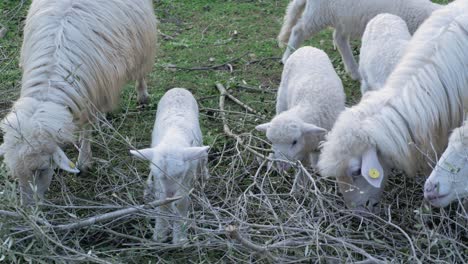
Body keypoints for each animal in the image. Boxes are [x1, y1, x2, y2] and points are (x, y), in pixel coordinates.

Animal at [0, 0, 158, 204]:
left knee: (140, 72)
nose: (29, 207)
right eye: (16, 174)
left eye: (42, 169)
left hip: (141, 41)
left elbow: (87, 126)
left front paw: (84, 161)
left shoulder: (93, 91)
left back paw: (142, 96)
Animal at [128, 88, 208, 243]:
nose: (170, 194)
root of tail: (178, 88)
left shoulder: (187, 175)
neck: (174, 136)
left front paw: (180, 238)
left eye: (179, 175)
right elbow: (162, 202)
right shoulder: (160, 181)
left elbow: (181, 202)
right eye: (160, 176)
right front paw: (160, 234)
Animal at [254, 47, 346, 188]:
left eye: (294, 142)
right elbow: (303, 170)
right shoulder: (303, 153)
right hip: (282, 98)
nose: (281, 165)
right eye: (272, 142)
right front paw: (300, 188)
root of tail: (308, 47)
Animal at [280, 0, 440, 80]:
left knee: (339, 38)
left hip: (343, 18)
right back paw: (287, 57)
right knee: (298, 30)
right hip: (320, 14)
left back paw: (354, 71)